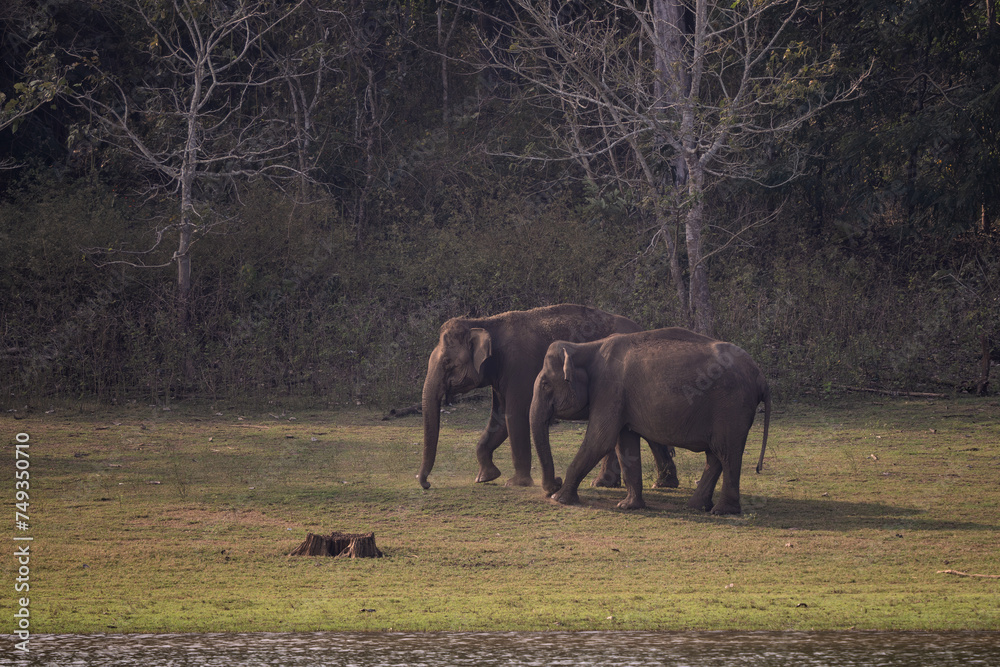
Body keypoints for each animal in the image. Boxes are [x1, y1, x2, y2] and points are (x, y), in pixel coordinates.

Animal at [417, 304, 679, 490]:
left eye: (447, 362)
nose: (426, 483)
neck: (486, 322)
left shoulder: (518, 367)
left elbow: (515, 416)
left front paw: (515, 483)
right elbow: (499, 420)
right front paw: (485, 477)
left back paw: (610, 483)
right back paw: (651, 483)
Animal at [529, 327, 771, 514]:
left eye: (546, 384)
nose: (555, 482)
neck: (585, 347)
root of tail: (760, 375)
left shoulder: (609, 390)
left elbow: (600, 440)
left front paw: (559, 499)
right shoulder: (620, 398)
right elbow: (624, 443)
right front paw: (628, 506)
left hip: (731, 406)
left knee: (726, 452)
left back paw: (722, 511)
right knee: (716, 455)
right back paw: (696, 506)